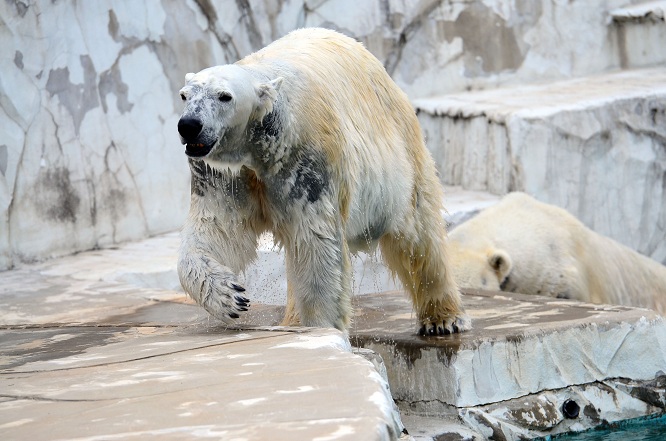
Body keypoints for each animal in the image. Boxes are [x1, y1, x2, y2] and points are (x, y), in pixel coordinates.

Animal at [175, 28, 466, 334]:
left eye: (224, 96)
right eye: (184, 95)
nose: (189, 125)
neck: (260, 145)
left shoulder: (307, 162)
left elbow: (316, 244)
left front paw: (320, 328)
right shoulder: (223, 174)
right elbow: (217, 230)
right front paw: (229, 297)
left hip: (403, 152)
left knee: (418, 235)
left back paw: (443, 318)